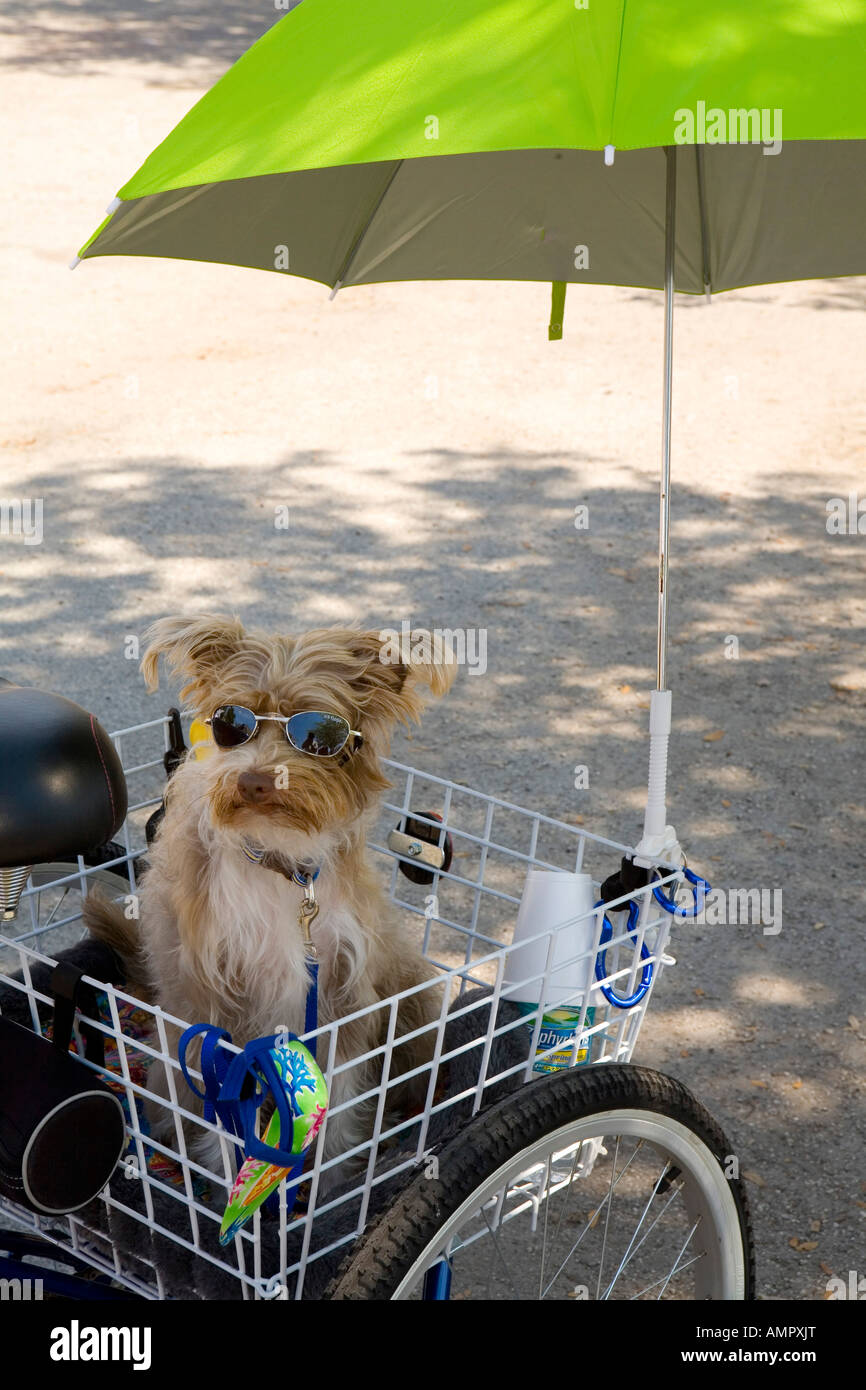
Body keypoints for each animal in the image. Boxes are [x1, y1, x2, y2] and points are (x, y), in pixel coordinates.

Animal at [85, 614, 458, 1178]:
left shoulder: (344, 997)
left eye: (318, 734)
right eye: (230, 722)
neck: (281, 866)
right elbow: (222, 1124)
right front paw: (232, 1189)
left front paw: (326, 1186)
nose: (255, 779)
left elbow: (339, 1106)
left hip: (413, 996)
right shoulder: (210, 1008)